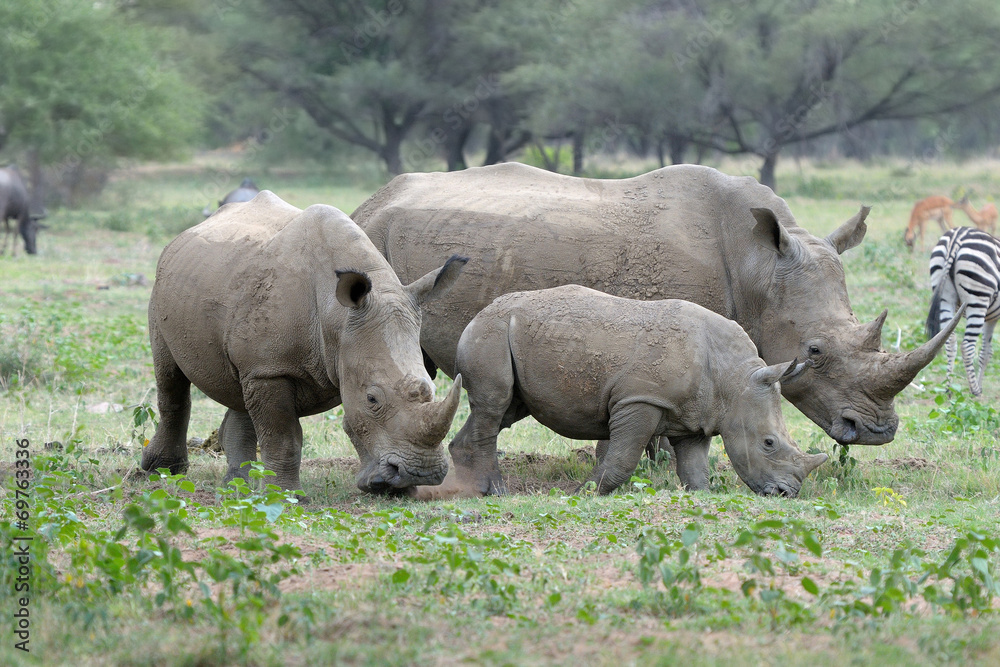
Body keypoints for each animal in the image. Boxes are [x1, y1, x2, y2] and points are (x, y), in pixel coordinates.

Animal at [145, 190, 468, 494]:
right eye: (372, 398)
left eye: (431, 389)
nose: (422, 473)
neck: (337, 316)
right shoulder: (271, 370)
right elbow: (284, 438)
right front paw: (287, 497)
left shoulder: (340, 352)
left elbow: (354, 422)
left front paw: (386, 487)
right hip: (160, 287)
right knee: (170, 376)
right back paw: (162, 471)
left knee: (240, 390)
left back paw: (236, 486)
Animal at [426, 284, 832, 498]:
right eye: (769, 443)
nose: (786, 494)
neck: (735, 379)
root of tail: (477, 315)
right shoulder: (640, 400)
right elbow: (622, 458)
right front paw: (584, 493)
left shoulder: (697, 414)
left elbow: (695, 468)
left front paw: (699, 495)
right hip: (491, 333)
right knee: (494, 406)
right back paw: (495, 491)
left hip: (509, 336)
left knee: (504, 410)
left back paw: (469, 486)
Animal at [920, 228, 1000, 396]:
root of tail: (956, 237)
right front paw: (978, 387)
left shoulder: (991, 318)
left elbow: (986, 352)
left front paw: (981, 384)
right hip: (977, 297)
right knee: (967, 346)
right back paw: (974, 390)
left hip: (945, 296)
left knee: (949, 341)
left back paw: (949, 389)